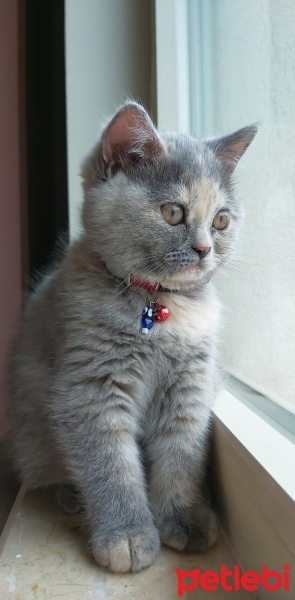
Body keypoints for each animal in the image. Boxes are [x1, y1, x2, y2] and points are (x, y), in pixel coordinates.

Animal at [5, 102, 258, 572]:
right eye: (173, 213)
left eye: (221, 220)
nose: (204, 249)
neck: (158, 306)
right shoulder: (90, 387)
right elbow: (111, 465)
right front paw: (126, 534)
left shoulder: (190, 388)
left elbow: (182, 454)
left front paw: (181, 516)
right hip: (32, 430)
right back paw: (71, 495)